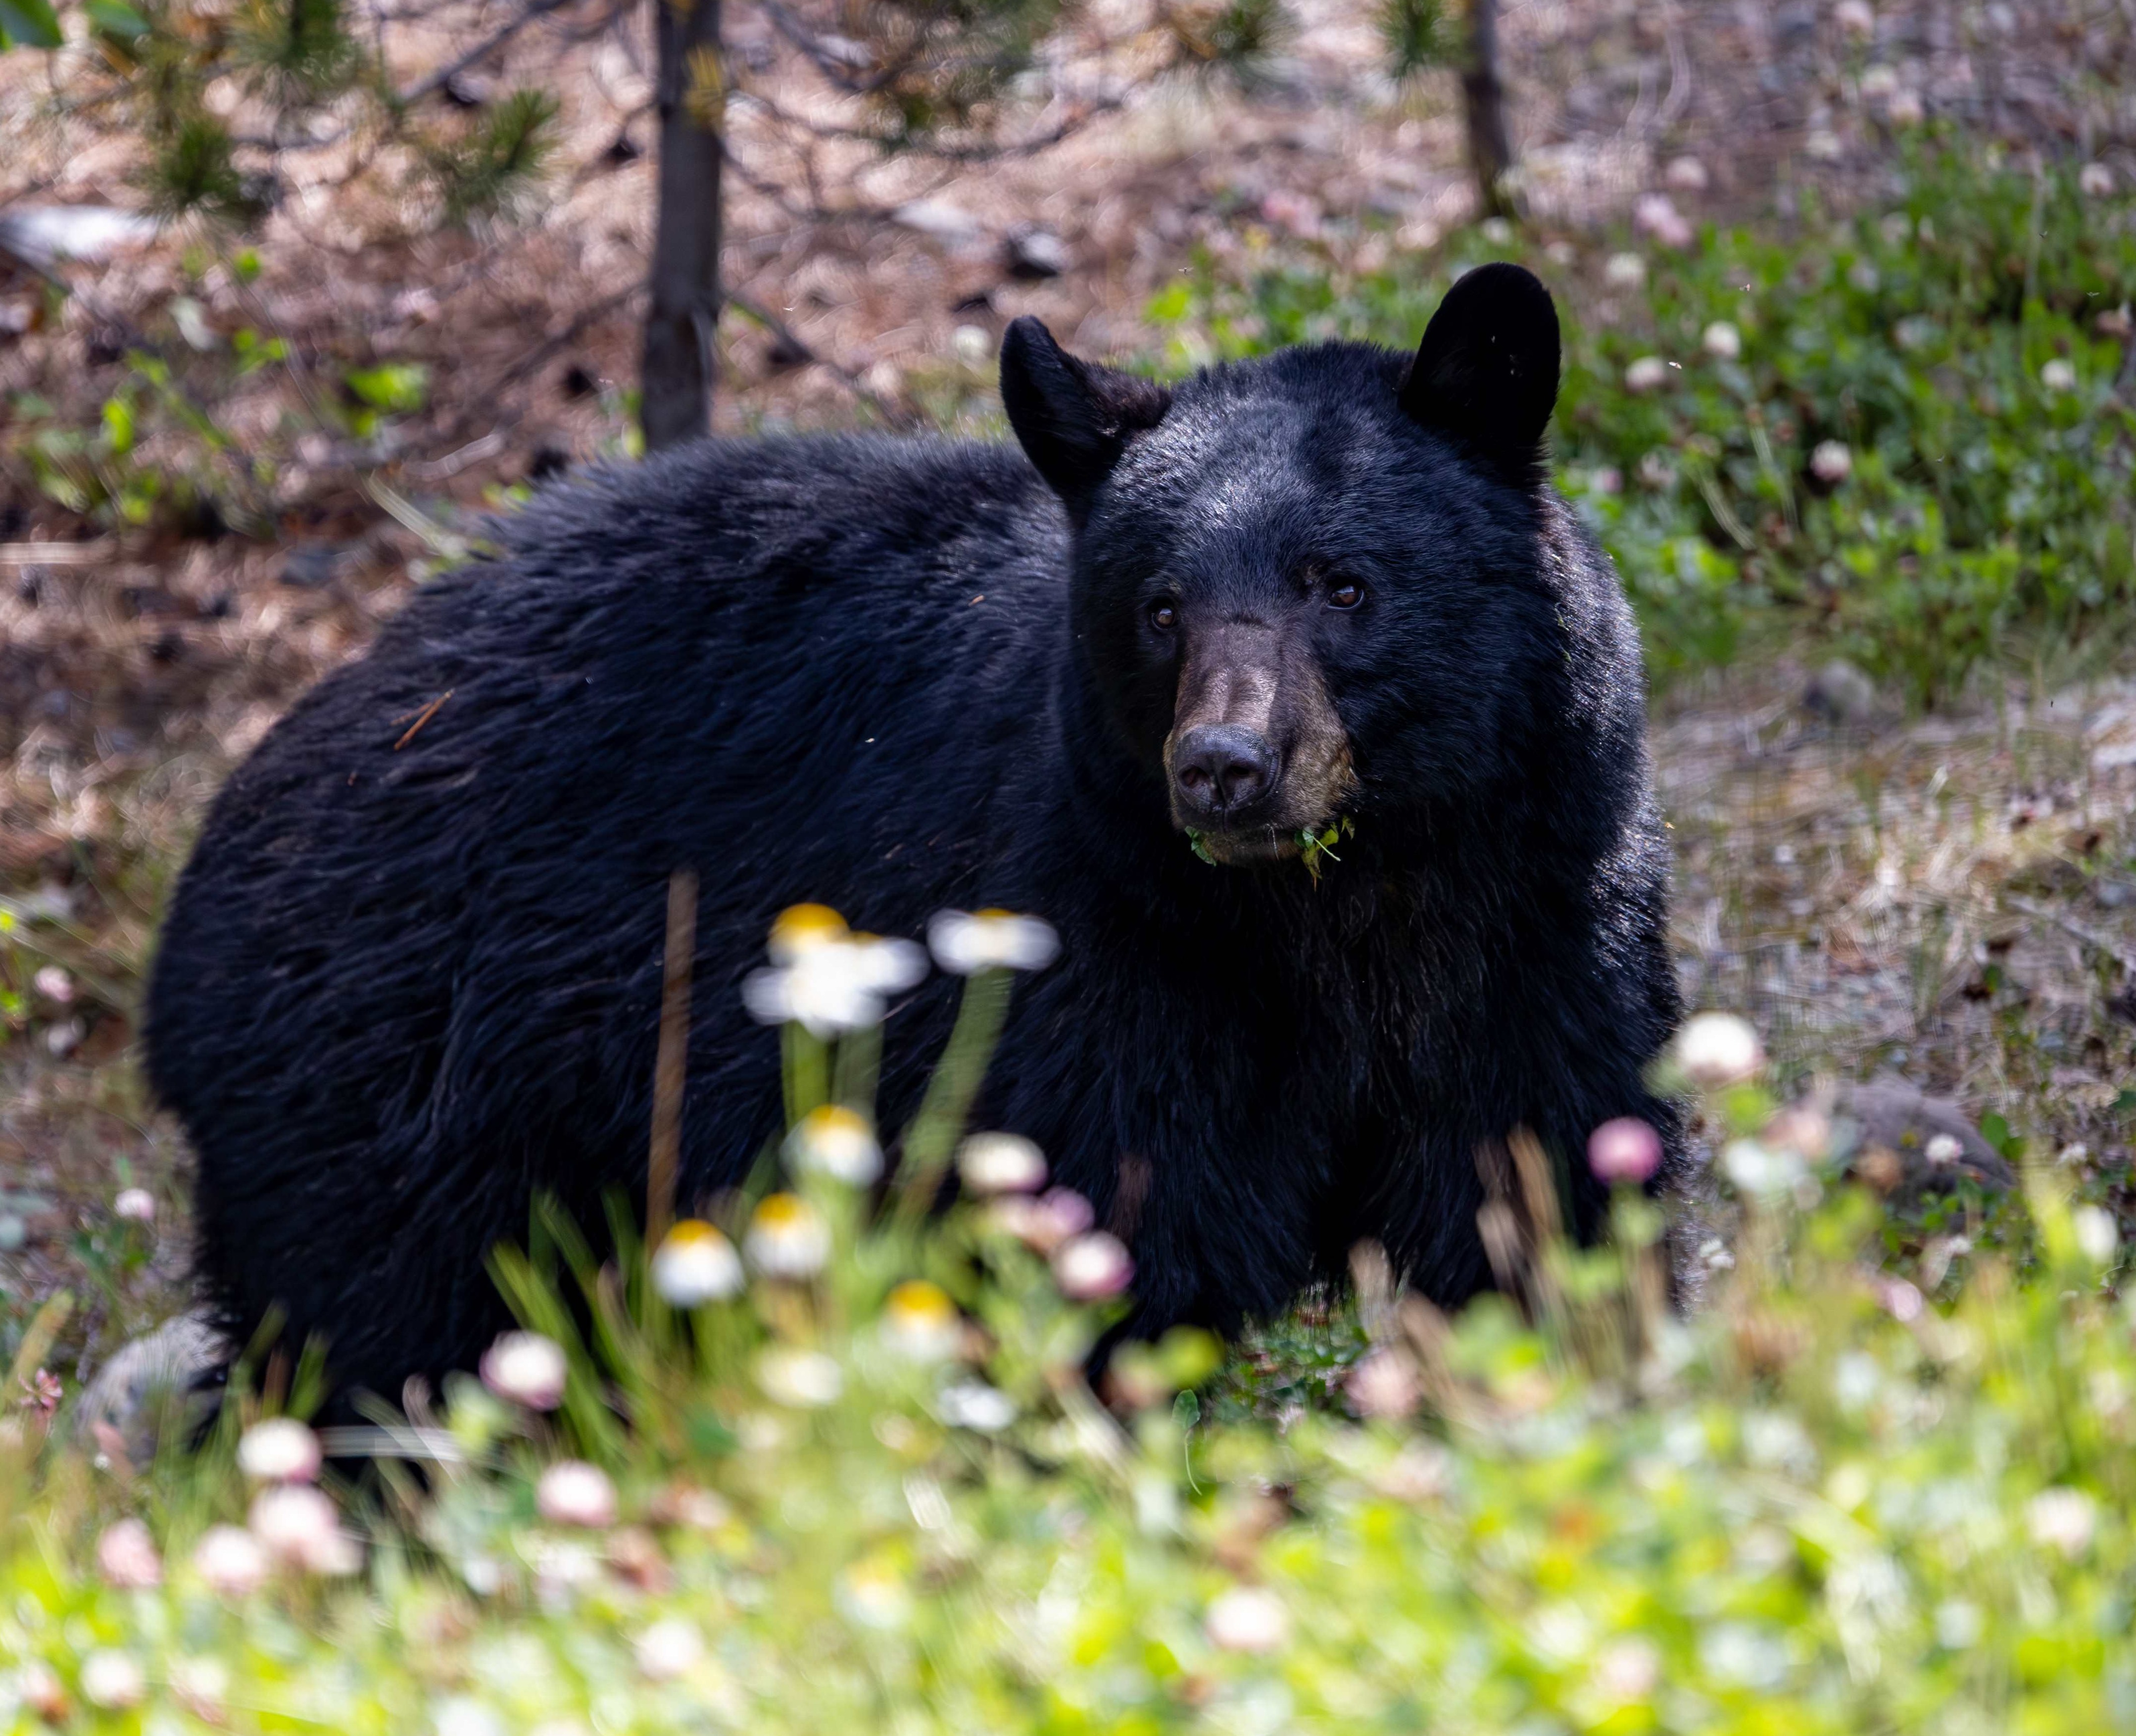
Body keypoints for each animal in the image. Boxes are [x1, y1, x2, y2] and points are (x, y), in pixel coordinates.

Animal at [146, 268, 1683, 1409]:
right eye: (1160, 607)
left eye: (1343, 584)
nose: (1222, 771)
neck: (1342, 912)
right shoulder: (1096, 955)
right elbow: (1102, 1247)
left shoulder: (1538, 920)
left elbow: (1542, 1202)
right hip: (399, 1094)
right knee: (380, 1355)